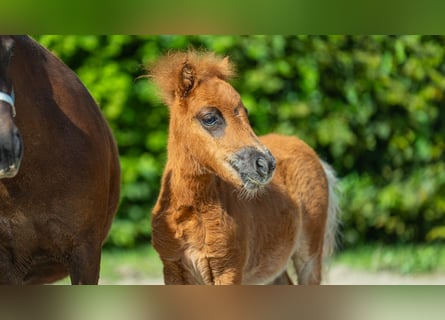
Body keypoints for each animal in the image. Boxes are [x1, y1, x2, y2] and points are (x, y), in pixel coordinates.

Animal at [150, 50, 340, 284]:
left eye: (245, 113)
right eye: (210, 118)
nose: (266, 164)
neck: (191, 213)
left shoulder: (229, 270)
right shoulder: (173, 270)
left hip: (309, 255)